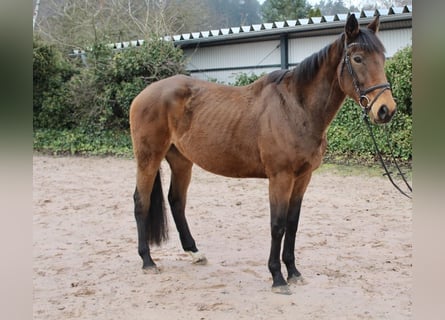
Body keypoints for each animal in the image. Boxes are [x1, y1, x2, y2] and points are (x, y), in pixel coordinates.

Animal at [128, 15, 396, 296]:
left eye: (382, 57)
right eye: (357, 58)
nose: (386, 109)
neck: (295, 108)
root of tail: (144, 94)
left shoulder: (303, 178)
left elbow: (292, 223)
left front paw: (294, 272)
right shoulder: (280, 177)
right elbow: (277, 225)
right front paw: (277, 277)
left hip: (181, 161)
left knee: (176, 201)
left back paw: (194, 252)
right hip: (148, 159)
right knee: (141, 202)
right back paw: (148, 261)